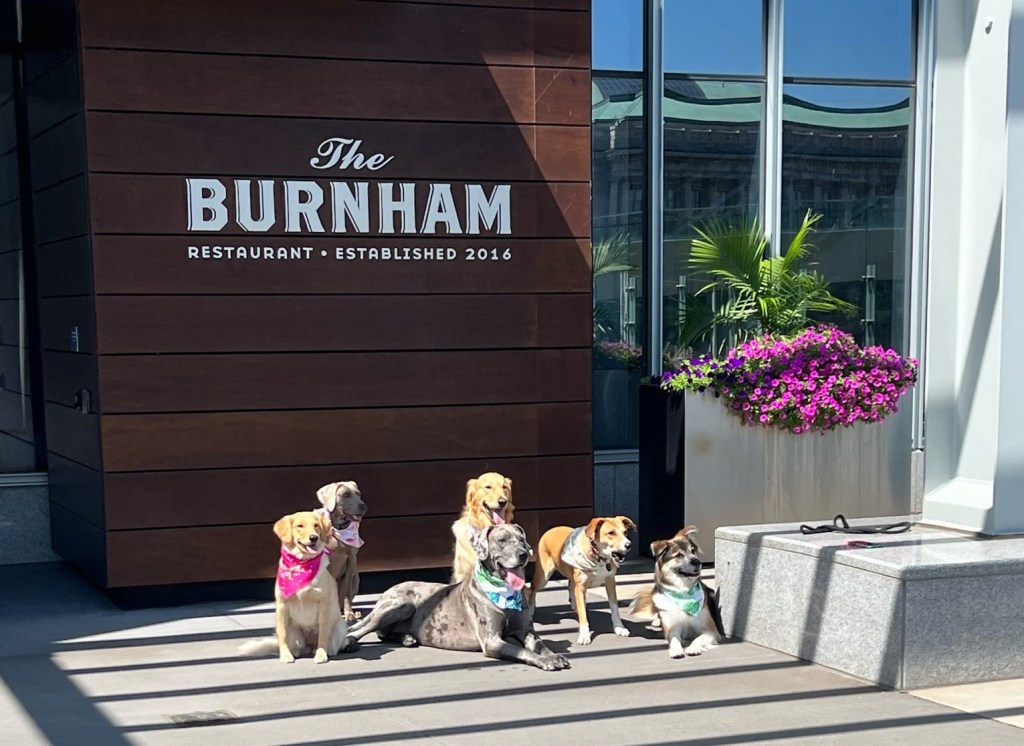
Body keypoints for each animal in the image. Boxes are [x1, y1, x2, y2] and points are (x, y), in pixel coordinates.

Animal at [238, 509, 348, 659]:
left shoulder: (323, 604)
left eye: (316, 525)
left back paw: (323, 650)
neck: (301, 564)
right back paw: (294, 652)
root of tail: (309, 644)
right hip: (293, 630)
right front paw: (285, 656)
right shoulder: (282, 605)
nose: (314, 538)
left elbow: (323, 634)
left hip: (340, 627)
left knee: (331, 644)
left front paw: (321, 654)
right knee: (294, 644)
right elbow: (282, 635)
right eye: (299, 526)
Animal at [317, 480, 370, 618]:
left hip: (356, 577)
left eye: (358, 494)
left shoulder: (351, 560)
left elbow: (346, 591)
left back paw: (354, 612)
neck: (338, 528)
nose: (364, 506)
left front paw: (349, 613)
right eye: (346, 495)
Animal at [342, 521, 569, 671]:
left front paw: (552, 656)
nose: (523, 554)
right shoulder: (492, 641)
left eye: (521, 539)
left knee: (384, 633)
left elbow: (540, 645)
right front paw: (545, 661)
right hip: (402, 605)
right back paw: (350, 642)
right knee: (364, 629)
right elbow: (523, 651)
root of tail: (386, 592)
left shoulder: (525, 630)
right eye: (502, 540)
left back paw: (406, 637)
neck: (503, 592)